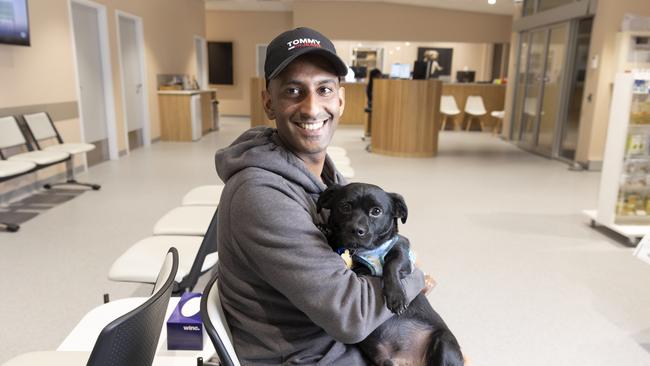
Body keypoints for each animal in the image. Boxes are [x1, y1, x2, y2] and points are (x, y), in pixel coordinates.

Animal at [316, 183, 464, 366]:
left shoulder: (402, 252)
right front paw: (325, 230)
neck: (360, 252)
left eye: (376, 211)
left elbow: (391, 265)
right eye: (345, 207)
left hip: (444, 342)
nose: (356, 230)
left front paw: (396, 297)